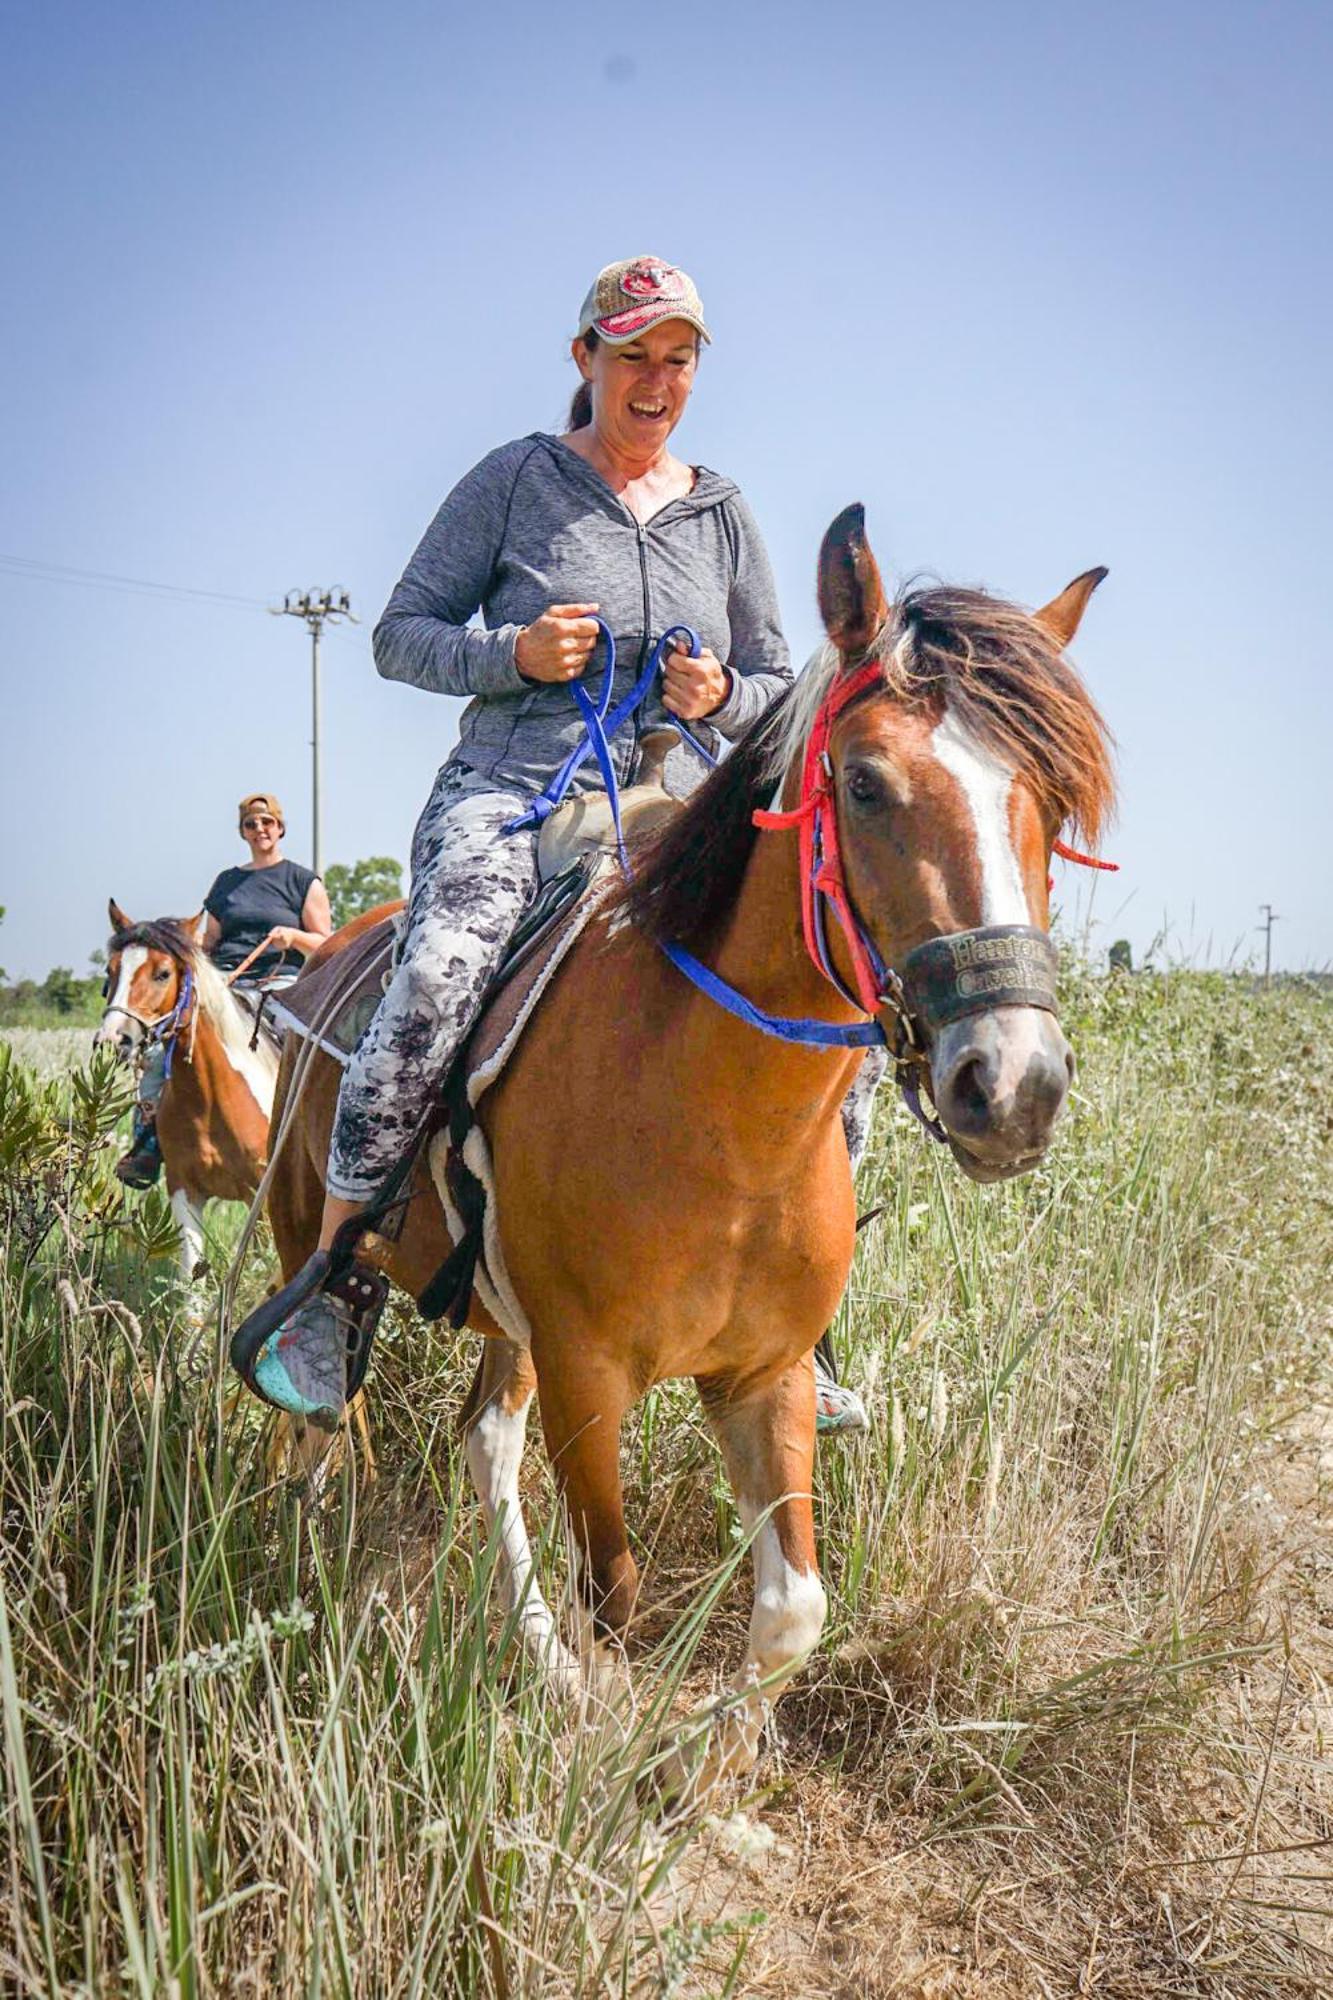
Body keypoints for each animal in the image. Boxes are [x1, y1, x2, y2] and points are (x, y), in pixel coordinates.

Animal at [96, 904, 280, 1288]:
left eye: (163, 973)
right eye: (111, 970)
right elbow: (190, 1281)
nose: (112, 1039)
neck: (209, 1097)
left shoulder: (263, 1194)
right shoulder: (184, 1191)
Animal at [260, 504, 1112, 1800]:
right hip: (307, 1237)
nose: (1013, 1085)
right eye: (865, 783)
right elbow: (617, 1596)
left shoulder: (764, 1376)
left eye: (1052, 804)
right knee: (318, 1422)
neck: (722, 1131)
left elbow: (794, 1609)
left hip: (508, 1326)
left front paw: (722, 1758)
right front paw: (623, 1747)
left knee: (483, 1440)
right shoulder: (588, 1377)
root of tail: (312, 960)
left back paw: (544, 1663)